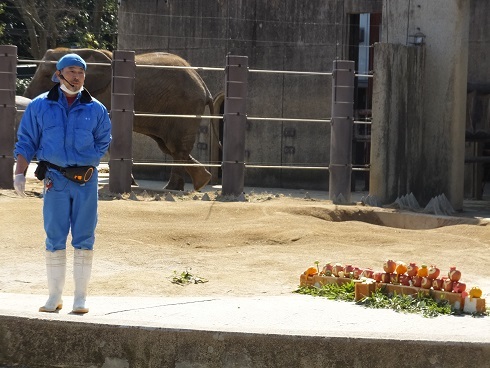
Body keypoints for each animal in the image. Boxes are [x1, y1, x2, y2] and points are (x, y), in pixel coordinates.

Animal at [23, 47, 212, 191]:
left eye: (47, 76)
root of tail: (204, 86)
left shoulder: (105, 97)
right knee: (169, 147)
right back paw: (202, 181)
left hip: (184, 108)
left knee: (175, 147)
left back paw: (175, 188)